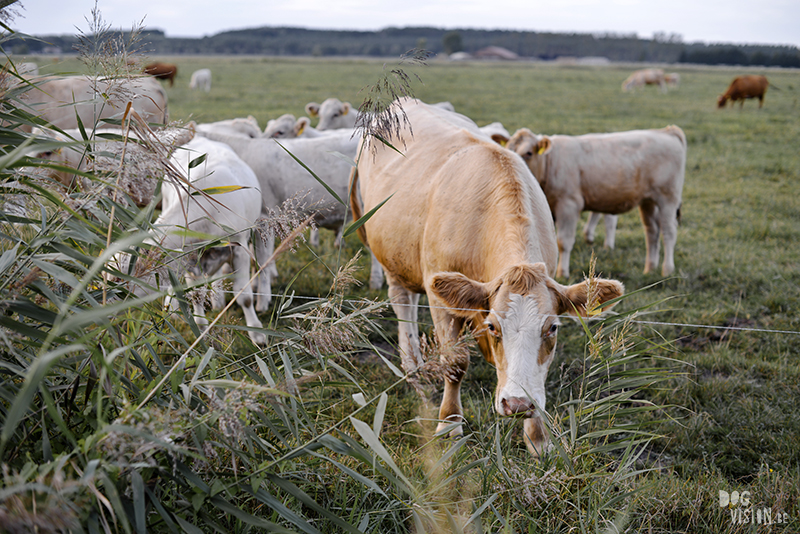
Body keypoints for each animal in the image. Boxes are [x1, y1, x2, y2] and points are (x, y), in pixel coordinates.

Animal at [506, 126, 688, 280]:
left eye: (529, 153)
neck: (550, 162)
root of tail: (666, 131)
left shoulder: (569, 205)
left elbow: (564, 242)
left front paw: (562, 273)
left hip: (668, 199)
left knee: (669, 232)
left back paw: (667, 269)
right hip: (648, 202)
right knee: (652, 232)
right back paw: (650, 269)